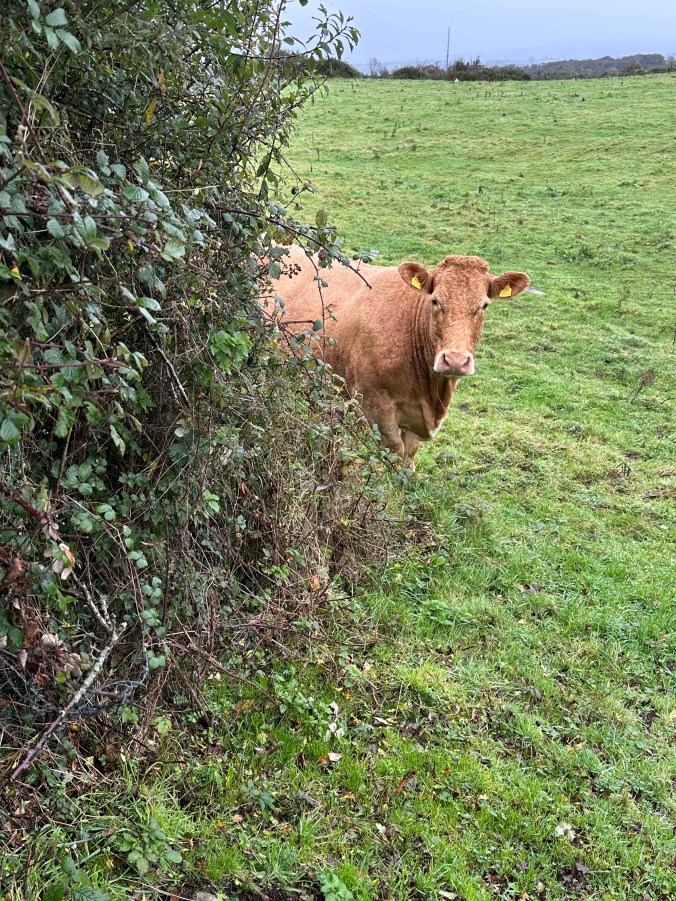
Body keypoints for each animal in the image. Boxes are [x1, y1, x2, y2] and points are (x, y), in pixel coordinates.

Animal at [267, 245, 530, 466]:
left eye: (484, 305)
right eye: (434, 300)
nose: (455, 360)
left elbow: (409, 457)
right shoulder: (373, 402)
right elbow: (394, 454)